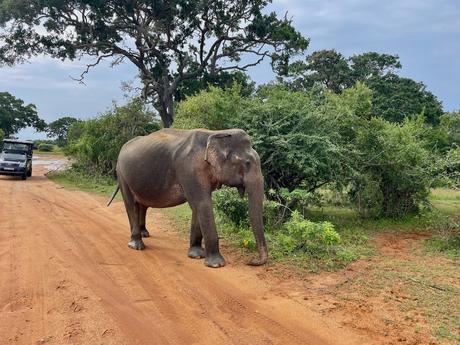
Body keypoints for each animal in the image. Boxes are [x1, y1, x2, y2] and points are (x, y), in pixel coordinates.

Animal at [106, 127, 268, 268]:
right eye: (247, 163)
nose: (251, 261)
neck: (216, 133)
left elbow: (198, 206)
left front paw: (197, 255)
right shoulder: (189, 169)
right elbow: (202, 203)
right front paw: (216, 264)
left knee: (141, 204)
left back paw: (143, 234)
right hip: (122, 174)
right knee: (130, 203)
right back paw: (136, 245)